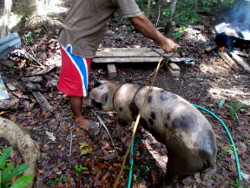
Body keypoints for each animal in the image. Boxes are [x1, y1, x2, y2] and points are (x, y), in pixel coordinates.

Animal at [84, 81, 217, 187]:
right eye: (89, 90)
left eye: (94, 101)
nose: (83, 100)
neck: (115, 91)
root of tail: (210, 157)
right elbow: (138, 125)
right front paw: (139, 133)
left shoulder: (124, 115)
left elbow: (120, 125)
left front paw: (113, 135)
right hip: (190, 167)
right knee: (180, 178)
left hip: (181, 157)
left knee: (171, 176)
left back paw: (159, 184)